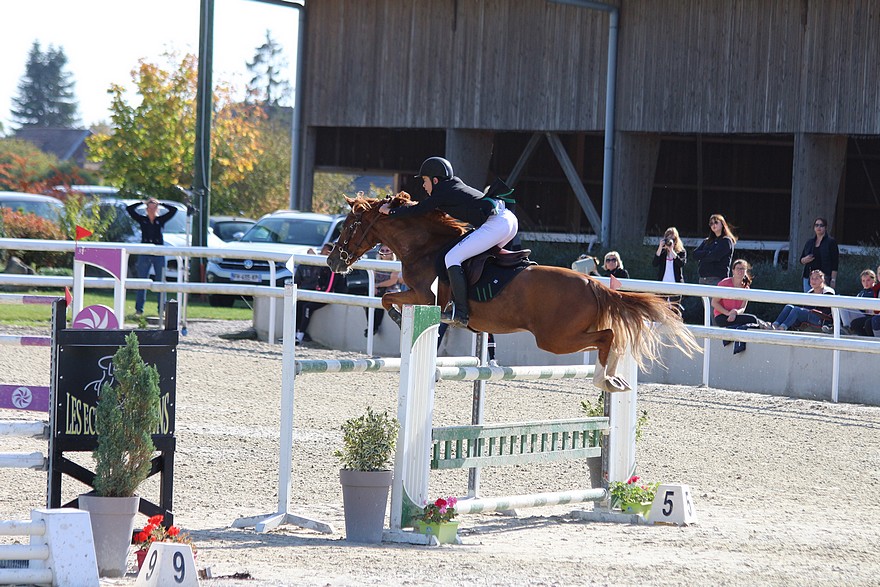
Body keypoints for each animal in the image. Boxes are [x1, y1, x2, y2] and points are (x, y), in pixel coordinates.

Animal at [324, 194, 700, 396]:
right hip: (564, 335)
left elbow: (388, 300)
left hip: (554, 338)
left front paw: (398, 318)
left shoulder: (424, 297)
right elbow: (387, 299)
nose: (332, 260)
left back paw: (603, 379)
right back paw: (612, 378)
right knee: (613, 337)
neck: (425, 246)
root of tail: (592, 282)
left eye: (349, 226)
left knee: (608, 337)